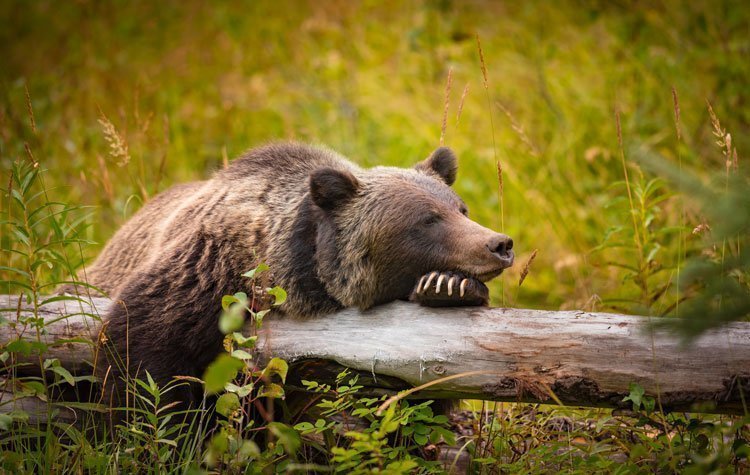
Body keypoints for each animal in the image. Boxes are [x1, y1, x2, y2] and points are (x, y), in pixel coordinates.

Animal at [71, 142, 514, 412]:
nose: (499, 243)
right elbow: (142, 351)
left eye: (461, 209)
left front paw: (449, 286)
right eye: (427, 219)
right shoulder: (207, 273)